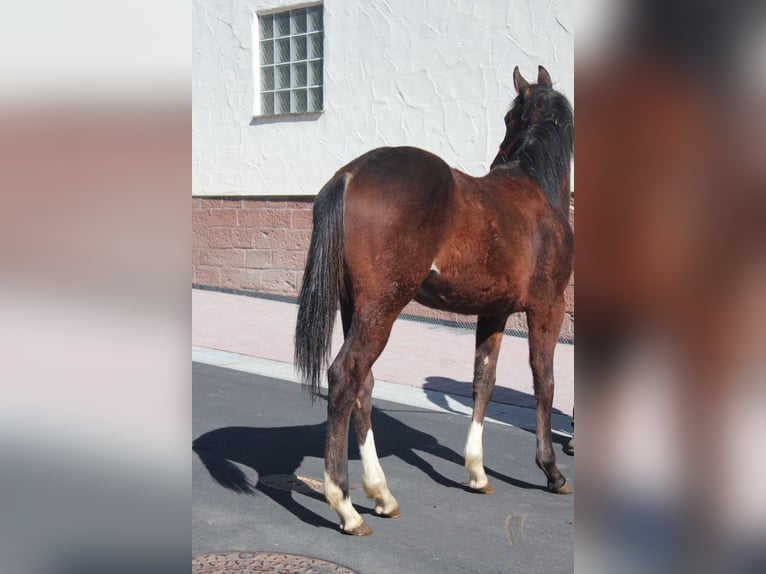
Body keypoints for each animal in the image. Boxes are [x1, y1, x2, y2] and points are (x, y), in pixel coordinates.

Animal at [294, 65, 574, 535]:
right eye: (507, 118)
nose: (495, 160)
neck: (538, 189)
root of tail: (349, 175)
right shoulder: (547, 309)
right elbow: (545, 382)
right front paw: (552, 471)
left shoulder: (493, 313)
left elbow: (483, 382)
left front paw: (477, 472)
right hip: (383, 308)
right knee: (345, 377)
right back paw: (346, 506)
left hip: (358, 307)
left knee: (363, 384)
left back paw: (381, 495)